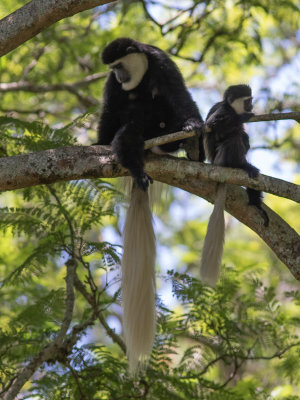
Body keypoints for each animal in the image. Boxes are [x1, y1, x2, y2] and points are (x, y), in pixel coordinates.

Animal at [96, 37, 204, 372]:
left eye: (120, 66)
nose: (120, 77)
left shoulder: (163, 65)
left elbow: (181, 97)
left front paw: (193, 127)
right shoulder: (111, 88)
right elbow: (109, 121)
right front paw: (103, 143)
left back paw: (189, 146)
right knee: (126, 132)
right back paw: (135, 166)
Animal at [200, 83, 268, 286]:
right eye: (248, 101)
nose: (251, 106)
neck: (230, 108)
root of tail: (216, 165)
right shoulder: (222, 111)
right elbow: (213, 125)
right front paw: (244, 117)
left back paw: (256, 203)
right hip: (222, 158)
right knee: (235, 138)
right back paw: (243, 165)